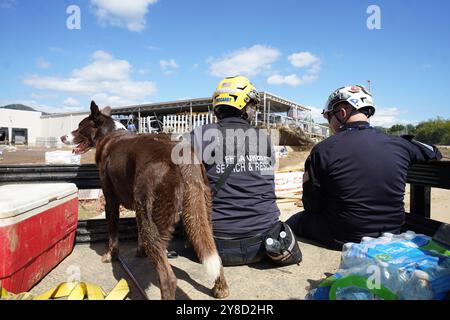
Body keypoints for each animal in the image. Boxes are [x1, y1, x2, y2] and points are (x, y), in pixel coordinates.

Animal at [60, 102, 229, 300]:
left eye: (79, 127)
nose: (62, 137)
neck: (110, 134)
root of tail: (184, 160)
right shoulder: (138, 203)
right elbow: (137, 230)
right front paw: (140, 251)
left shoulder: (111, 200)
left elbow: (112, 233)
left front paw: (111, 256)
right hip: (202, 212)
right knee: (214, 252)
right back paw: (221, 288)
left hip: (152, 223)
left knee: (168, 279)